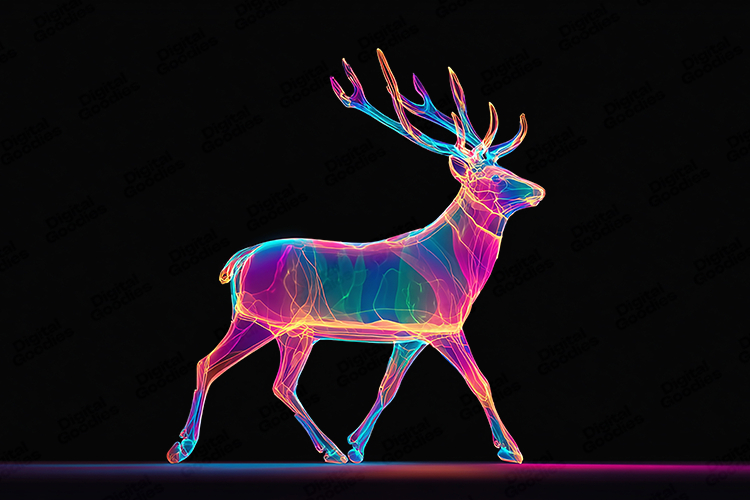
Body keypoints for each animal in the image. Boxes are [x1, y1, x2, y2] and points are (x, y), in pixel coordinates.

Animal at [167, 48, 545, 465]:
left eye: (504, 166)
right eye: (490, 178)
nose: (537, 191)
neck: (456, 264)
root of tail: (241, 257)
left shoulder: (409, 335)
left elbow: (387, 388)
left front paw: (357, 444)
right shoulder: (441, 325)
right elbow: (481, 382)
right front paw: (511, 450)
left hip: (295, 330)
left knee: (281, 384)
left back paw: (331, 449)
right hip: (259, 316)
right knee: (210, 364)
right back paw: (181, 447)